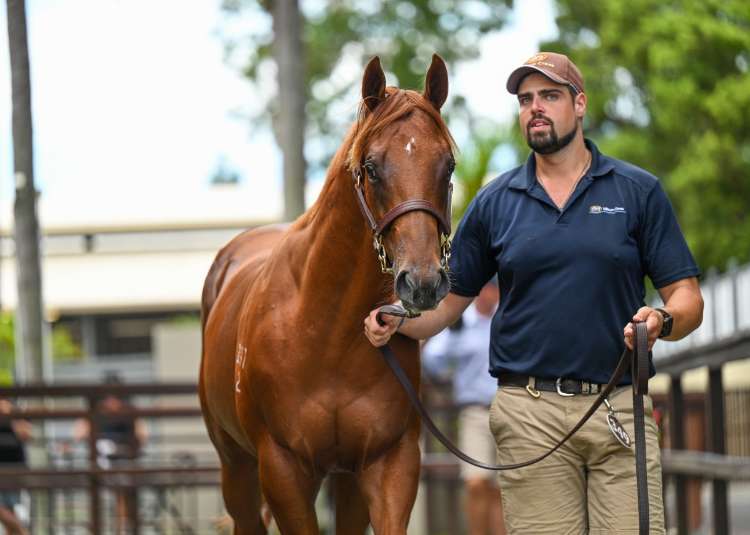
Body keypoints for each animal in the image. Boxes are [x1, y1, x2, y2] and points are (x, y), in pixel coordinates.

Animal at [199, 54, 456, 534]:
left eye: (448, 165)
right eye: (371, 167)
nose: (423, 282)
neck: (326, 331)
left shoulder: (389, 462)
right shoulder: (282, 469)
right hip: (236, 468)